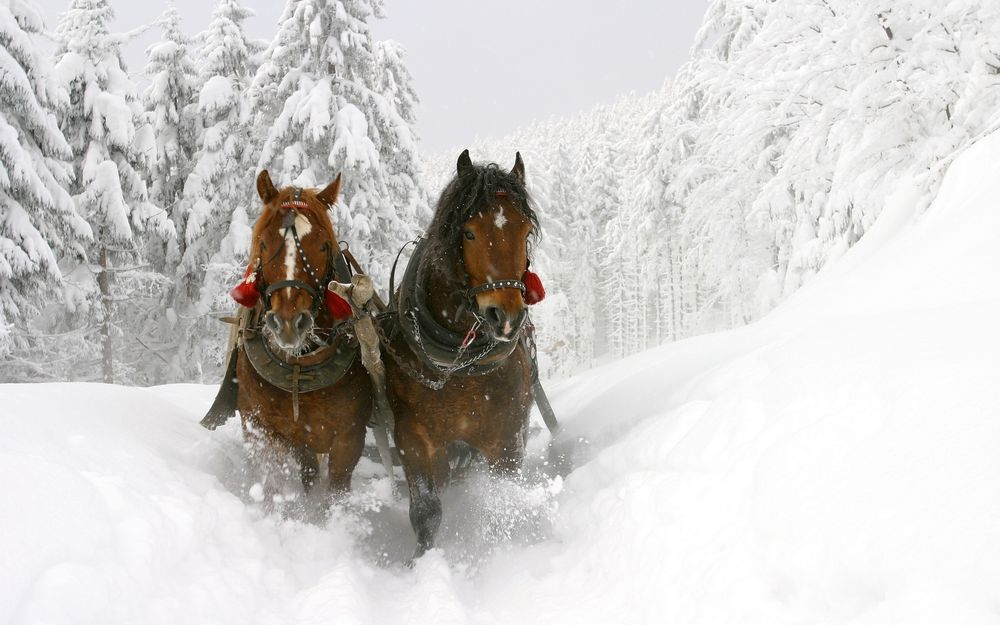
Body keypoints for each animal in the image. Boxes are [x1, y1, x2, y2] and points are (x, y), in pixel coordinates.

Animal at [232, 171, 374, 498]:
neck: (299, 367)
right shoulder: (264, 428)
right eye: (264, 243)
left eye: (322, 246)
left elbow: (335, 493)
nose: (288, 322)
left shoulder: (349, 439)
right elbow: (274, 483)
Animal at [382, 150, 544, 556]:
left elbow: (503, 503)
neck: (460, 365)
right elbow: (426, 513)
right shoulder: (414, 438)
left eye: (525, 232)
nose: (506, 316)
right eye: (468, 233)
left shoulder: (507, 440)